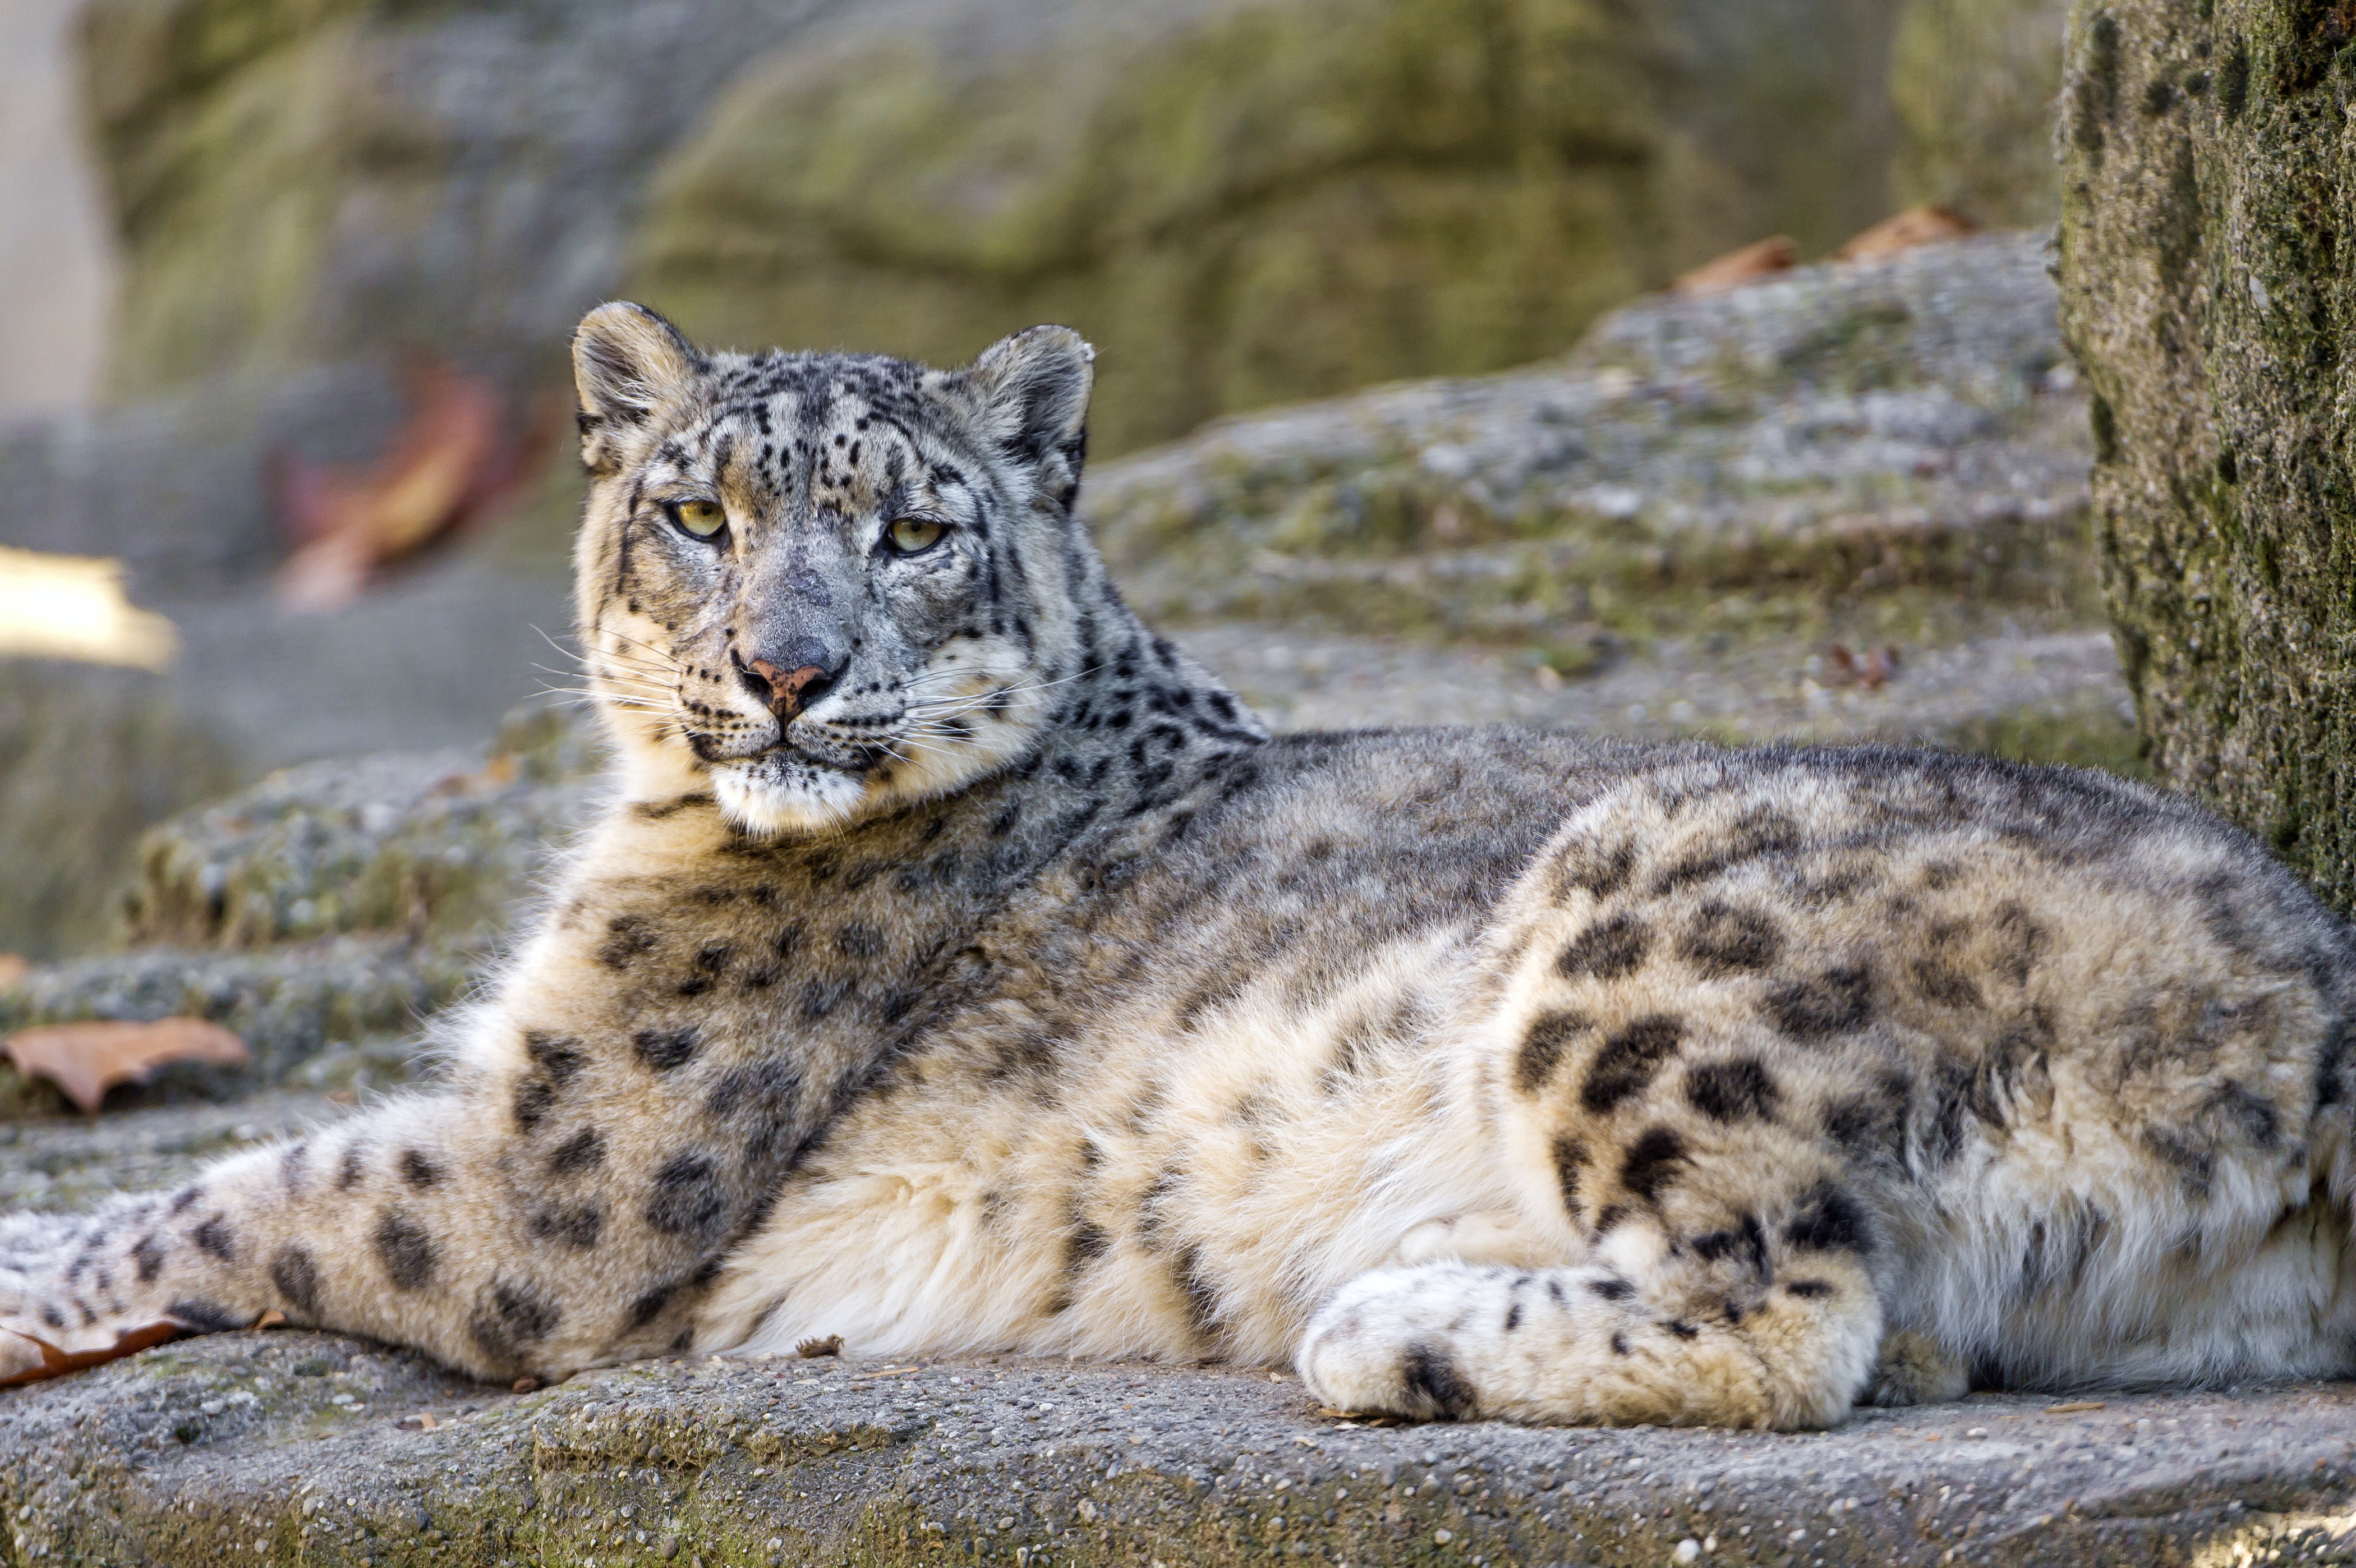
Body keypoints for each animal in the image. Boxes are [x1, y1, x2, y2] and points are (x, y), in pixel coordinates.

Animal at [7, 302, 2356, 1430]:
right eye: (696, 512)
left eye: (910, 526)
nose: (784, 668)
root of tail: (2310, 994)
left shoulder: (546, 1173)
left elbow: (251, 1182)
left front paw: (34, 1269)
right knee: (1894, 1325)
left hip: (1646, 927)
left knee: (1790, 1298)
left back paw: (1385, 1324)